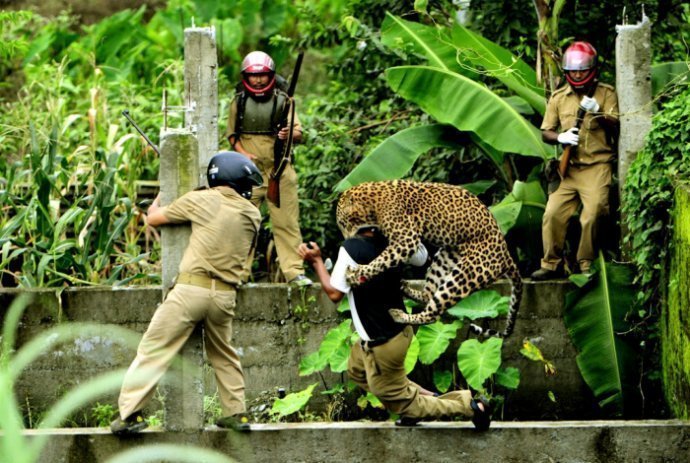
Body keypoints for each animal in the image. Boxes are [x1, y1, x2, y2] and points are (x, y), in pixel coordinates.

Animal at [334, 179, 520, 338]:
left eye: (342, 223)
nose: (345, 239)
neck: (371, 204)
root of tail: (506, 255)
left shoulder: (406, 240)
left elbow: (381, 261)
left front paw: (356, 274)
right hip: (444, 259)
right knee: (428, 295)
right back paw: (405, 288)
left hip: (465, 275)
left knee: (434, 314)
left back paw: (399, 315)